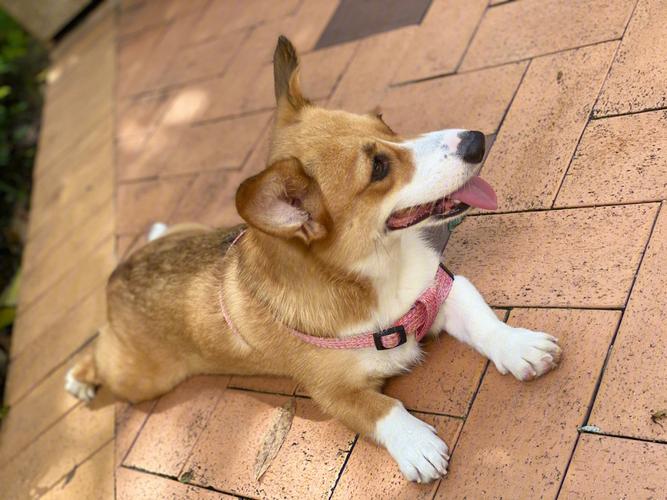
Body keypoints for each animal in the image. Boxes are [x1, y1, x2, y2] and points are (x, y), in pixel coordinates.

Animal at [66, 37, 564, 482]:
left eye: (385, 122)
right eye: (379, 169)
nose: (476, 140)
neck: (374, 272)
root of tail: (117, 277)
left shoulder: (439, 288)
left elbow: (482, 320)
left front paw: (520, 347)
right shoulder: (331, 392)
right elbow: (381, 409)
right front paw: (417, 445)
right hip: (139, 378)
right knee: (98, 352)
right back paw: (78, 377)